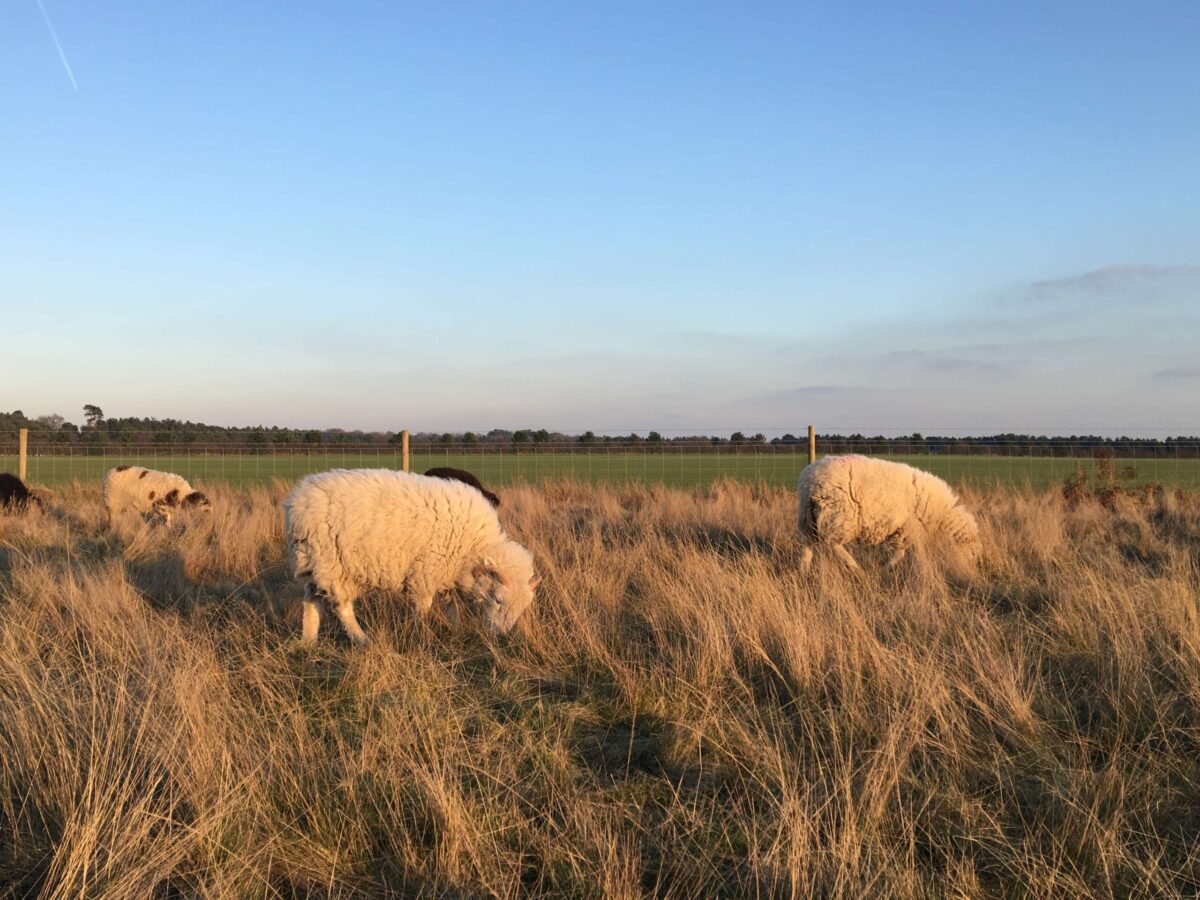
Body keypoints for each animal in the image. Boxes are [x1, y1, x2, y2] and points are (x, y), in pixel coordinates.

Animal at [284, 468, 540, 645]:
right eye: (498, 600)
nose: (500, 636)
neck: (473, 546)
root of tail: (297, 500)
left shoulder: (446, 573)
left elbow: (451, 606)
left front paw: (456, 630)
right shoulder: (427, 572)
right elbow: (423, 608)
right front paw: (419, 635)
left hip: (312, 561)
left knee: (311, 600)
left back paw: (308, 641)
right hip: (331, 563)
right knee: (342, 607)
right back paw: (362, 639)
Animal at [798, 454, 980, 571]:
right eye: (972, 553)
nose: (970, 573)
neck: (941, 517)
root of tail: (810, 482)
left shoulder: (904, 531)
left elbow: (901, 553)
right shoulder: (910, 530)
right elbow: (902, 554)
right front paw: (886, 569)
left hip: (807, 519)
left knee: (807, 545)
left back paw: (803, 570)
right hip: (840, 516)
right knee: (833, 544)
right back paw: (854, 567)